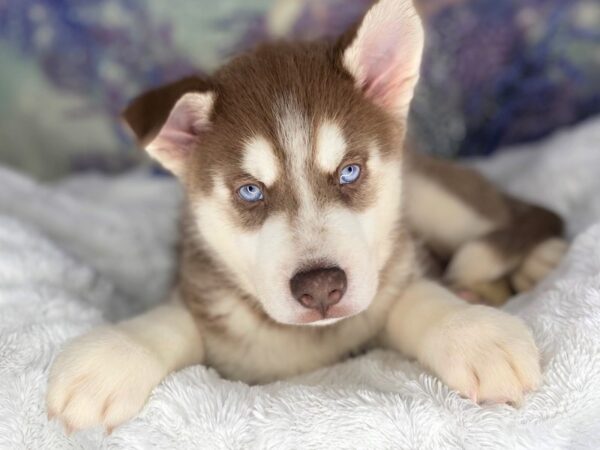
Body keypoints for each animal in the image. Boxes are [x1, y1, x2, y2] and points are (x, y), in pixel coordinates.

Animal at [47, 0, 568, 436]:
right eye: (251, 191)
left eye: (350, 171)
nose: (320, 287)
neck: (309, 343)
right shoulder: (205, 294)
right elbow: (175, 318)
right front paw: (114, 354)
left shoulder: (392, 275)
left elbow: (413, 296)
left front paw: (474, 332)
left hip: (435, 197)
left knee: (513, 215)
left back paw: (537, 260)